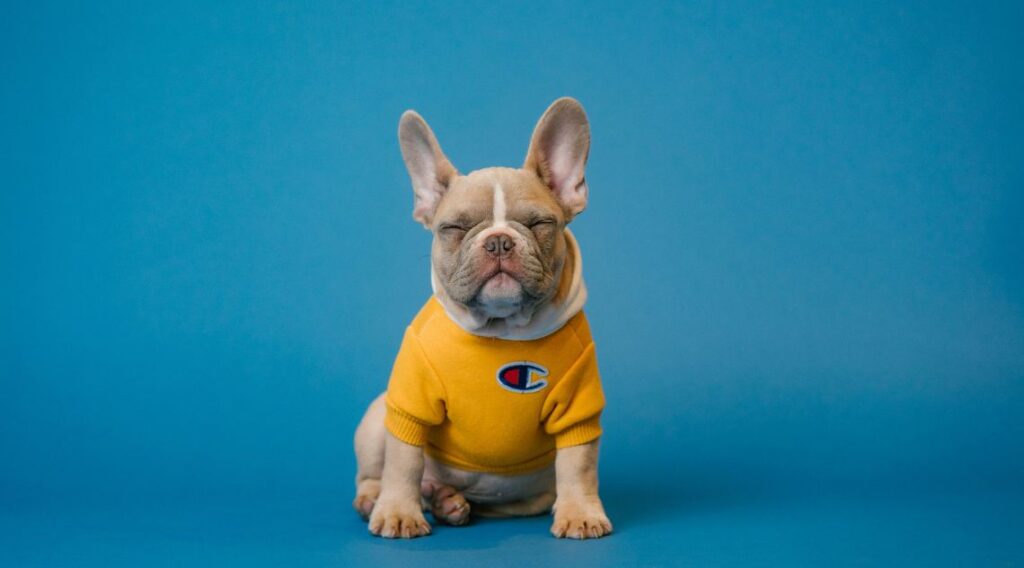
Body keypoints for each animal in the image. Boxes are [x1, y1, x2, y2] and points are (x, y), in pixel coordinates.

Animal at [354, 98, 606, 540]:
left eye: (540, 224)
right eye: (454, 228)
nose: (499, 240)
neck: (502, 329)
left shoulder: (579, 407)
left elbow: (579, 464)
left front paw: (580, 513)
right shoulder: (410, 403)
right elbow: (402, 462)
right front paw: (398, 511)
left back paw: (447, 502)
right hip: (375, 417)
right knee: (374, 474)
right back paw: (383, 499)